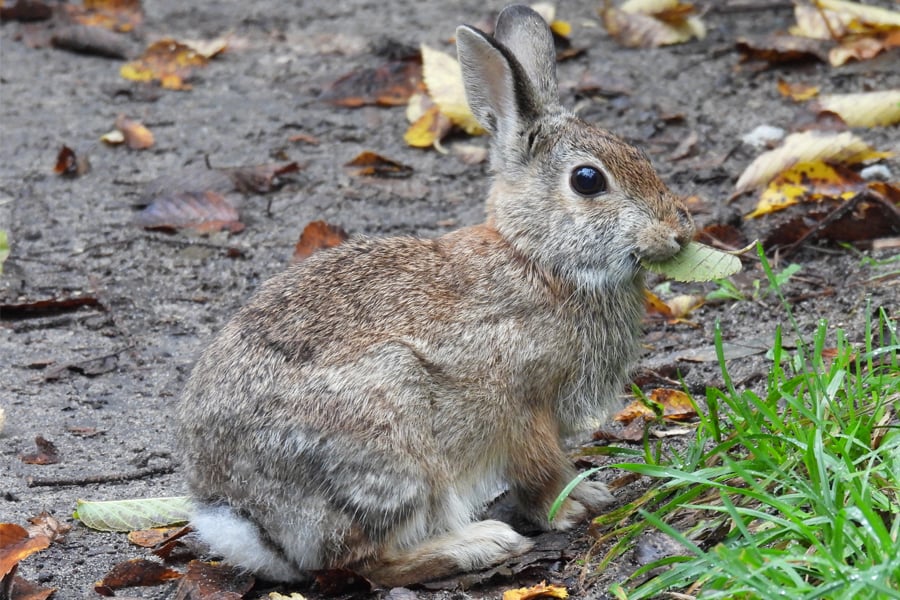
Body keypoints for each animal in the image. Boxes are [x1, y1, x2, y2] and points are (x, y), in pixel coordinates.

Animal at [178, 3, 696, 584]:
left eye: (638, 153)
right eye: (588, 180)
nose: (679, 231)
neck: (537, 258)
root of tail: (249, 521)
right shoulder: (522, 406)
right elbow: (540, 470)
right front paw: (575, 506)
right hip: (392, 440)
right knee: (367, 562)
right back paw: (479, 545)